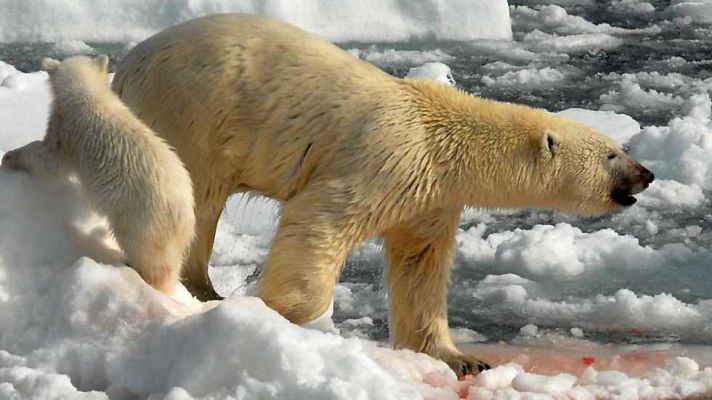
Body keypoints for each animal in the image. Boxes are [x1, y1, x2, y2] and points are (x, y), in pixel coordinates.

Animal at [1, 55, 195, 296]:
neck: (88, 94)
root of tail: (186, 217)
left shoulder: (68, 131)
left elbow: (51, 160)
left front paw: (11, 157)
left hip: (143, 218)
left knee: (150, 258)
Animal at [111, 14, 654, 376]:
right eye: (612, 153)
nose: (646, 173)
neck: (444, 137)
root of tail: (126, 66)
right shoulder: (385, 157)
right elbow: (320, 218)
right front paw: (278, 310)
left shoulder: (432, 198)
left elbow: (419, 267)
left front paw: (462, 358)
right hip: (190, 113)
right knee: (193, 198)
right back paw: (202, 288)